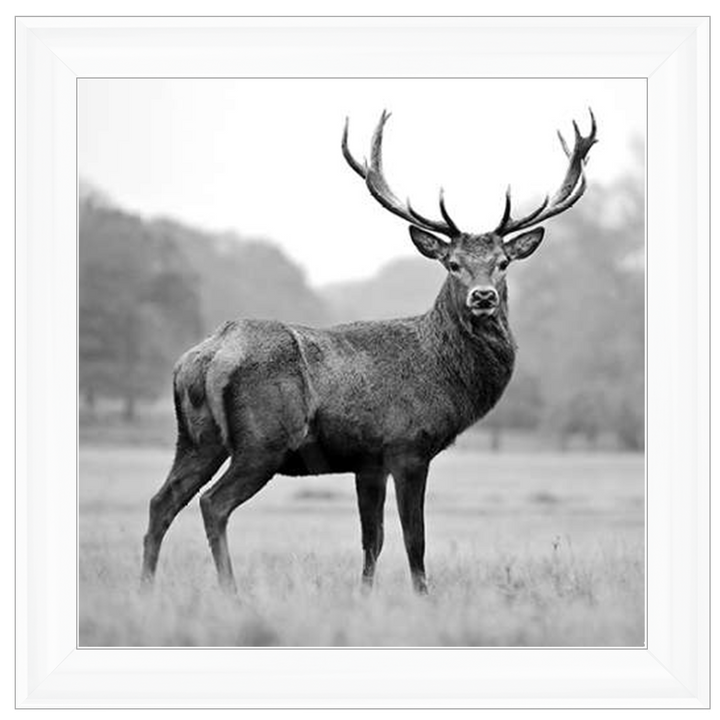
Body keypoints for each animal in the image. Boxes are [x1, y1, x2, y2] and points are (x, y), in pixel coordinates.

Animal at [141, 109, 597, 595]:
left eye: (503, 263)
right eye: (452, 263)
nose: (483, 297)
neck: (444, 376)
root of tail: (206, 356)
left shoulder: (368, 461)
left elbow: (371, 539)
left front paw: (365, 595)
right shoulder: (408, 446)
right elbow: (414, 539)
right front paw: (423, 596)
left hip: (196, 437)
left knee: (161, 501)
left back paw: (146, 587)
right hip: (263, 440)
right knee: (213, 503)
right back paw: (231, 591)